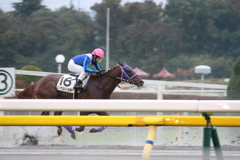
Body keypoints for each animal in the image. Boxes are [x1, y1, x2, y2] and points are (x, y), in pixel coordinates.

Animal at [15, 62, 144, 139]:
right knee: (46, 117)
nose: (141, 81)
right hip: (48, 101)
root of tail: (38, 82)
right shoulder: (84, 109)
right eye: (130, 71)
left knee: (55, 117)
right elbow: (81, 127)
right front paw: (74, 129)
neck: (99, 85)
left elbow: (108, 120)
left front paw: (94, 129)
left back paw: (60, 131)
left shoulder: (99, 108)